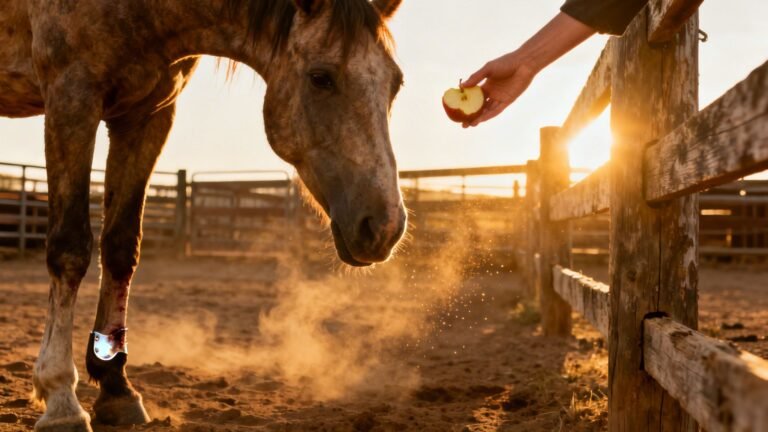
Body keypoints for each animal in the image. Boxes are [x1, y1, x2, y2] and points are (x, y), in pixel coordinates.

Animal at [0, 0, 407, 430]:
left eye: (395, 83)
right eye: (320, 78)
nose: (385, 227)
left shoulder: (147, 115)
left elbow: (121, 248)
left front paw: (117, 387)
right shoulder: (72, 98)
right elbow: (71, 248)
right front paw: (61, 396)